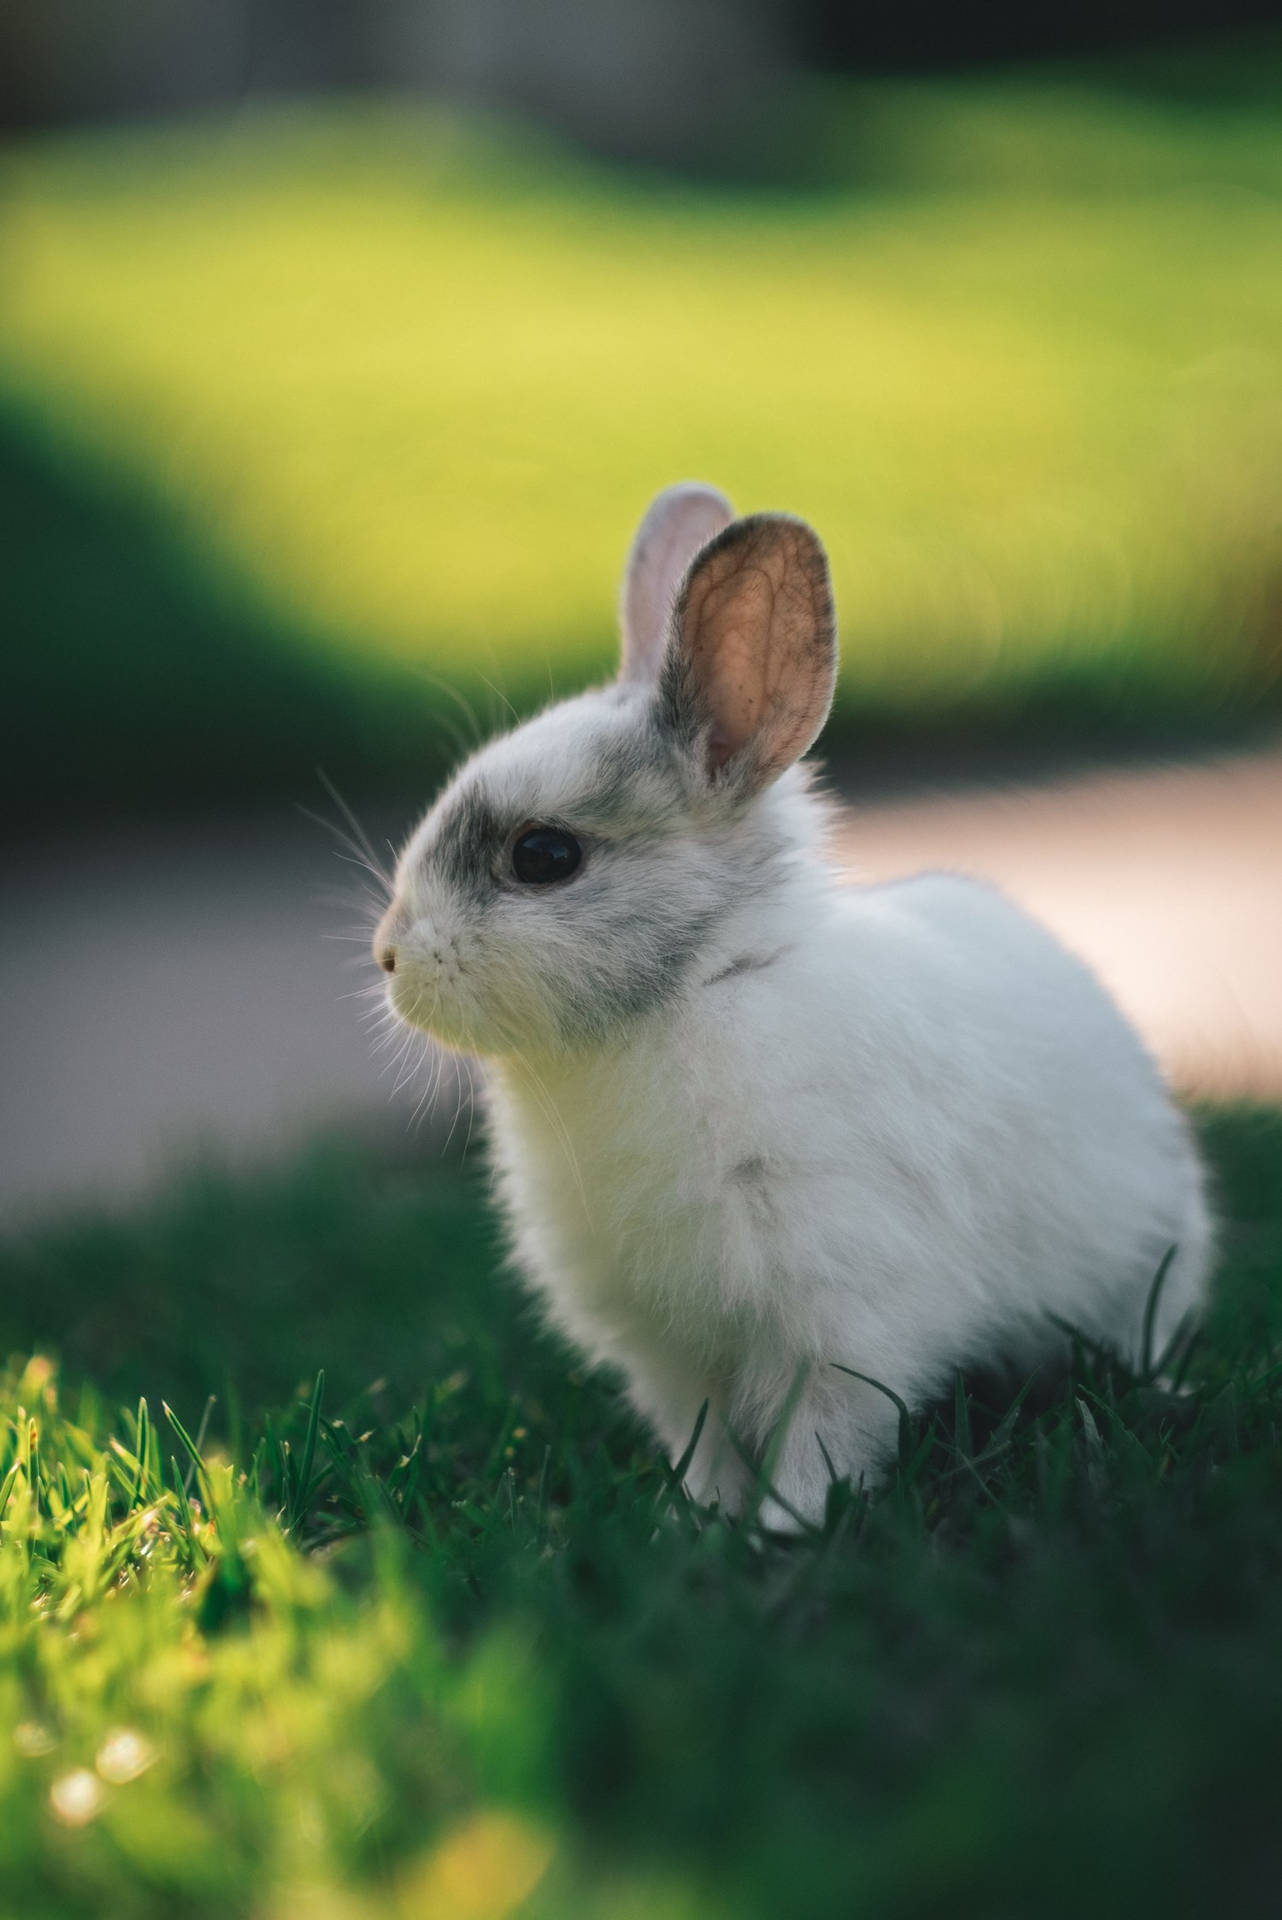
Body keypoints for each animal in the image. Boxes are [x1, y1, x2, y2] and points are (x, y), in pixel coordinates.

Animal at [378, 483, 1212, 1528]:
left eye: (543, 856)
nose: (389, 957)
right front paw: (699, 1521)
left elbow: (820, 1438)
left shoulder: (839, 1315)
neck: (696, 988)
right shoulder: (672, 1353)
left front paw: (789, 1531)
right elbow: (705, 1442)